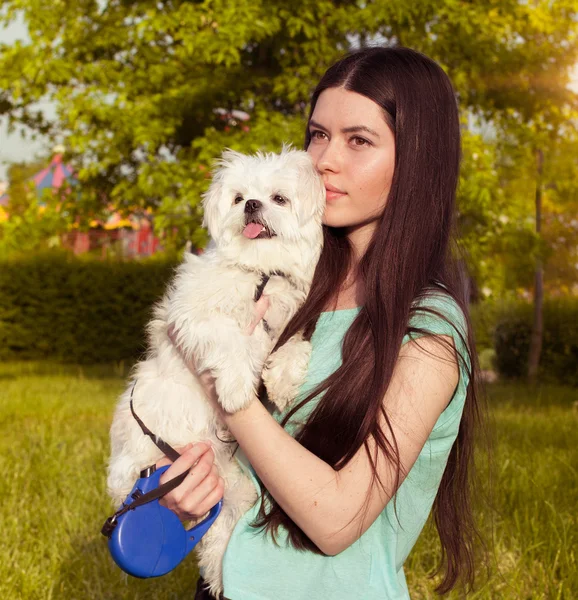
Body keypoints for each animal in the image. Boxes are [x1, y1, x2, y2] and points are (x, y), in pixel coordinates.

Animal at [107, 149, 324, 596]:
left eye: (279, 198)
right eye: (239, 197)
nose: (252, 205)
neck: (258, 271)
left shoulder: (286, 322)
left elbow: (293, 346)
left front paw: (280, 382)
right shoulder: (194, 317)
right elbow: (231, 340)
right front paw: (238, 388)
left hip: (231, 489)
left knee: (217, 535)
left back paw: (221, 578)